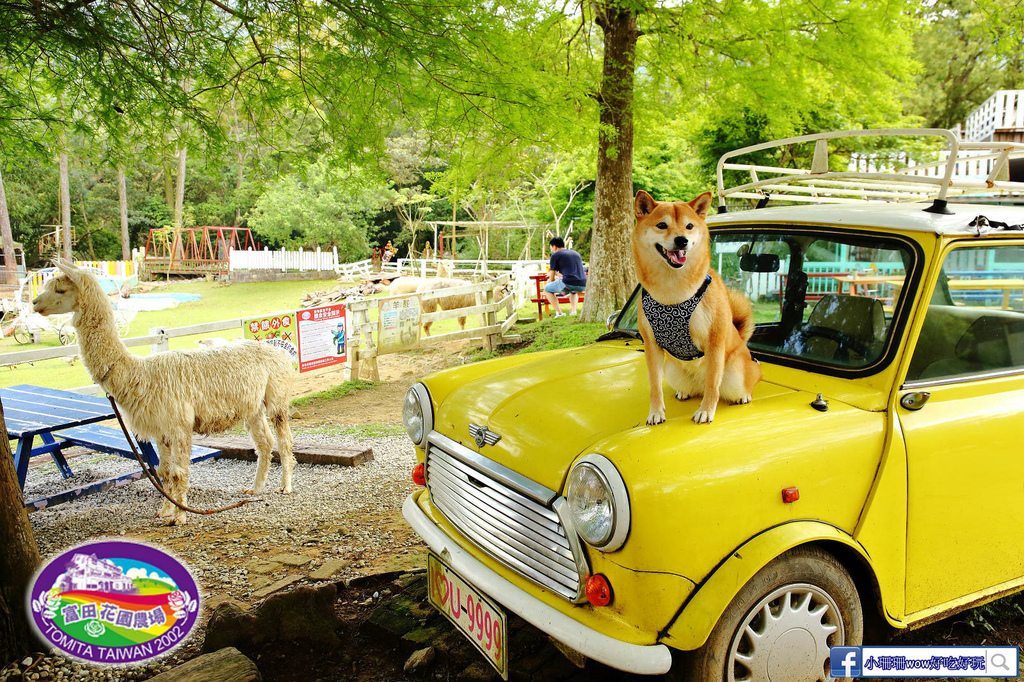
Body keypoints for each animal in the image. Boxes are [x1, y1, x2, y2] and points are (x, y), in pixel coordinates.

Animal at [630, 186, 761, 419]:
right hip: (673, 371)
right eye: (662, 225)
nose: (682, 240)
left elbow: (712, 383)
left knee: (739, 382)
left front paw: (706, 411)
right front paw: (655, 413)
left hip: (736, 373)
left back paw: (743, 396)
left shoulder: (714, 341)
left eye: (689, 226)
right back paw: (684, 392)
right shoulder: (651, 345)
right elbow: (654, 385)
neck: (672, 291)